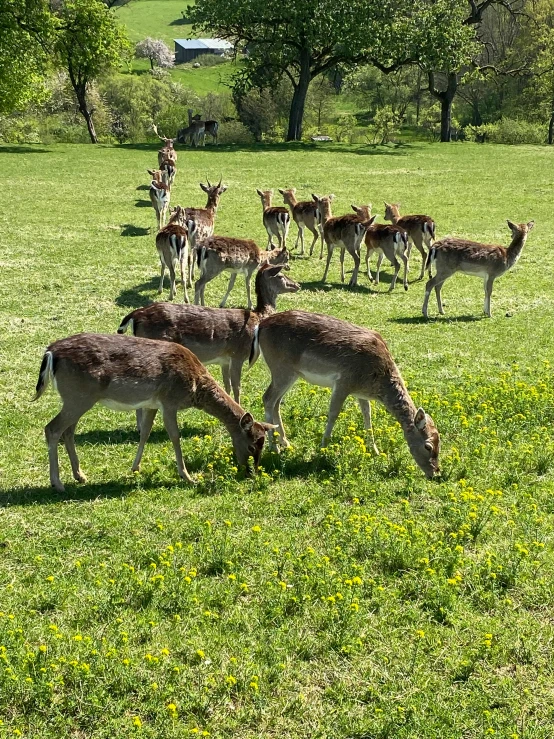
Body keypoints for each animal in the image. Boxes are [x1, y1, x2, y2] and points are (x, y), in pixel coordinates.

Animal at [33, 330, 274, 492]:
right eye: (252, 445)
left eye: (263, 444)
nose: (251, 472)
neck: (195, 386)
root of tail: (50, 353)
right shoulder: (169, 401)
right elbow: (174, 436)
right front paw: (188, 477)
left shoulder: (151, 404)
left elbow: (145, 432)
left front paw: (134, 468)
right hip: (78, 396)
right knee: (52, 428)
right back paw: (58, 483)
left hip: (76, 398)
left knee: (68, 431)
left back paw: (80, 475)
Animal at [116, 264, 298, 404]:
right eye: (281, 275)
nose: (297, 285)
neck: (256, 322)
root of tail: (135, 315)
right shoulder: (237, 354)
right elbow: (237, 386)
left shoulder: (224, 359)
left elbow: (227, 385)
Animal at [248, 310, 438, 480]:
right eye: (428, 446)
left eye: (440, 442)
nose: (436, 473)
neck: (376, 380)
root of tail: (260, 326)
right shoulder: (343, 382)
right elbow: (333, 414)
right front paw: (322, 450)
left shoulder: (361, 392)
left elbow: (367, 415)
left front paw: (375, 450)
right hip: (281, 368)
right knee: (268, 398)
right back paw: (274, 447)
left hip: (290, 373)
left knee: (276, 402)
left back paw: (285, 443)